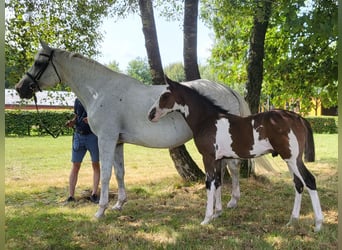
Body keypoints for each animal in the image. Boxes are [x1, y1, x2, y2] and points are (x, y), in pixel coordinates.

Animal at [15, 42, 248, 222]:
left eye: (38, 62)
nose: (20, 88)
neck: (100, 91)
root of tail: (227, 89)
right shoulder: (118, 142)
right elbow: (119, 172)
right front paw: (119, 204)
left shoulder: (106, 140)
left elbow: (105, 174)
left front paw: (100, 211)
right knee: (223, 172)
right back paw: (219, 209)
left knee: (231, 169)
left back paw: (229, 204)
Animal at [148, 76, 324, 232]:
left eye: (165, 95)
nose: (150, 115)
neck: (207, 120)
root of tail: (297, 117)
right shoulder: (219, 159)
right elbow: (218, 182)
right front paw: (217, 213)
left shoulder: (208, 158)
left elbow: (209, 184)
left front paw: (206, 219)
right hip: (290, 160)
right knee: (298, 184)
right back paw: (292, 220)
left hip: (292, 159)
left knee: (309, 181)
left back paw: (318, 224)